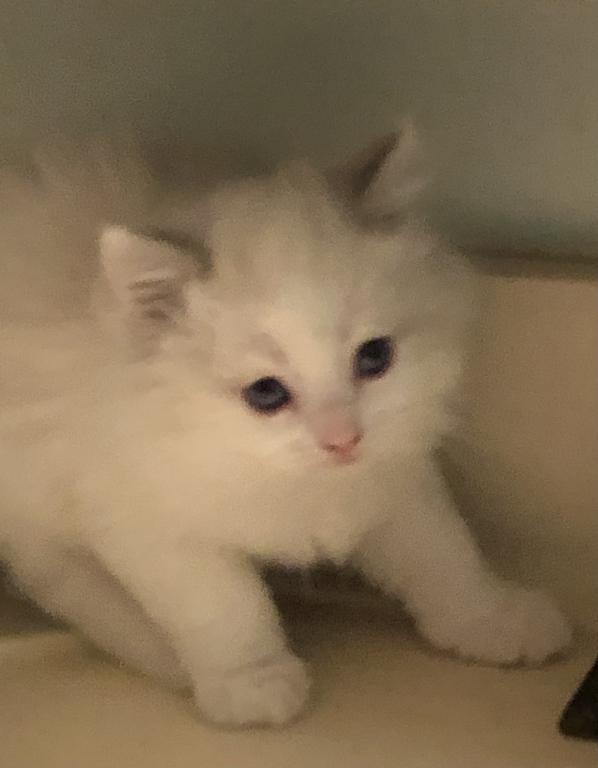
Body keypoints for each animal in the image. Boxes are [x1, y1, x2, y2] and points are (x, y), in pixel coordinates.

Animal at [0, 124, 571, 727]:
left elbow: (446, 556)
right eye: (266, 393)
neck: (299, 486)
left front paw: (493, 618)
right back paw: (168, 660)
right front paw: (252, 681)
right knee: (67, 584)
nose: (343, 440)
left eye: (375, 357)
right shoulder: (149, 523)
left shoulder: (395, 482)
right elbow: (223, 607)